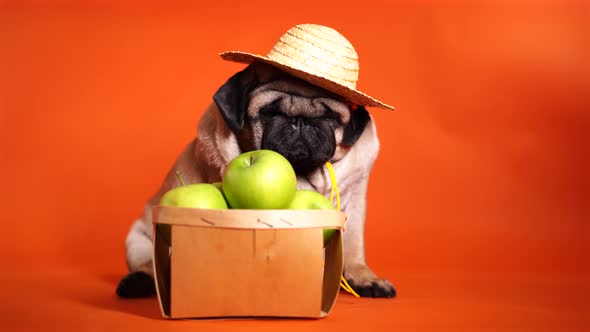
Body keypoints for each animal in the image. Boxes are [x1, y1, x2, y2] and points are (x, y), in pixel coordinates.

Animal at [117, 61, 398, 298]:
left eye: (330, 117)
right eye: (269, 112)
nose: (301, 122)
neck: (301, 174)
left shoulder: (354, 203)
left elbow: (353, 248)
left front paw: (364, 277)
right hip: (139, 240)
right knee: (149, 265)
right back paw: (138, 282)